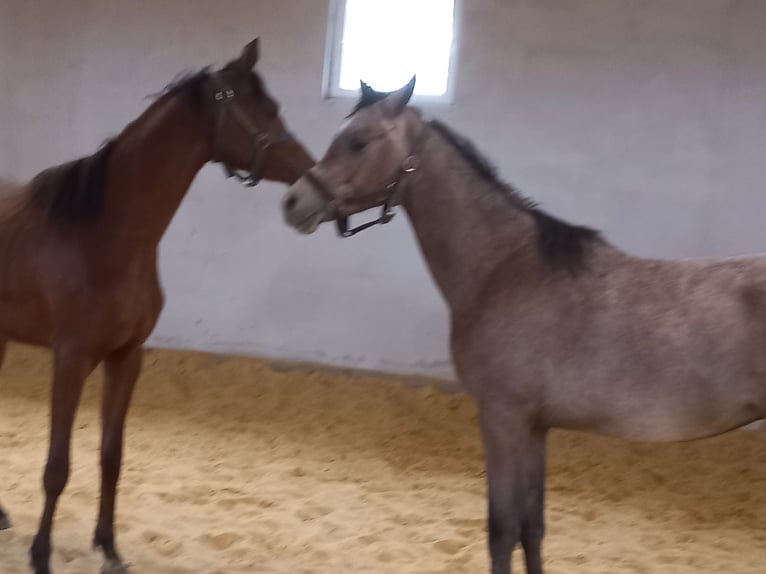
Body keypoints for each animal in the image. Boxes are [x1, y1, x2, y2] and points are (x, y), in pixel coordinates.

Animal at [0, 38, 316, 572]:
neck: (103, 234)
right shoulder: (70, 359)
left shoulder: (126, 358)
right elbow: (57, 466)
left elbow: (111, 456)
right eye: (267, 109)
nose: (310, 179)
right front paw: (41, 554)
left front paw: (108, 546)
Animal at [284, 77, 766, 574]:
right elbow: (532, 528)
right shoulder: (535, 428)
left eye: (357, 142)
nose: (293, 201)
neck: (506, 267)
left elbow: (502, 530)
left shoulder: (502, 418)